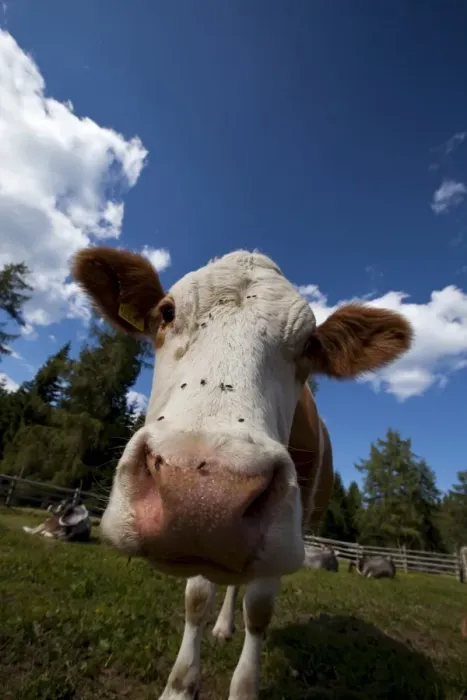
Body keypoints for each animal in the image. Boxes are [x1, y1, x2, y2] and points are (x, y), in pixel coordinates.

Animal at [72, 246, 413, 700]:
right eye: (166, 312)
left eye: (310, 344)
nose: (203, 496)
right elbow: (197, 599)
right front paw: (180, 684)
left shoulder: (285, 537)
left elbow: (259, 612)